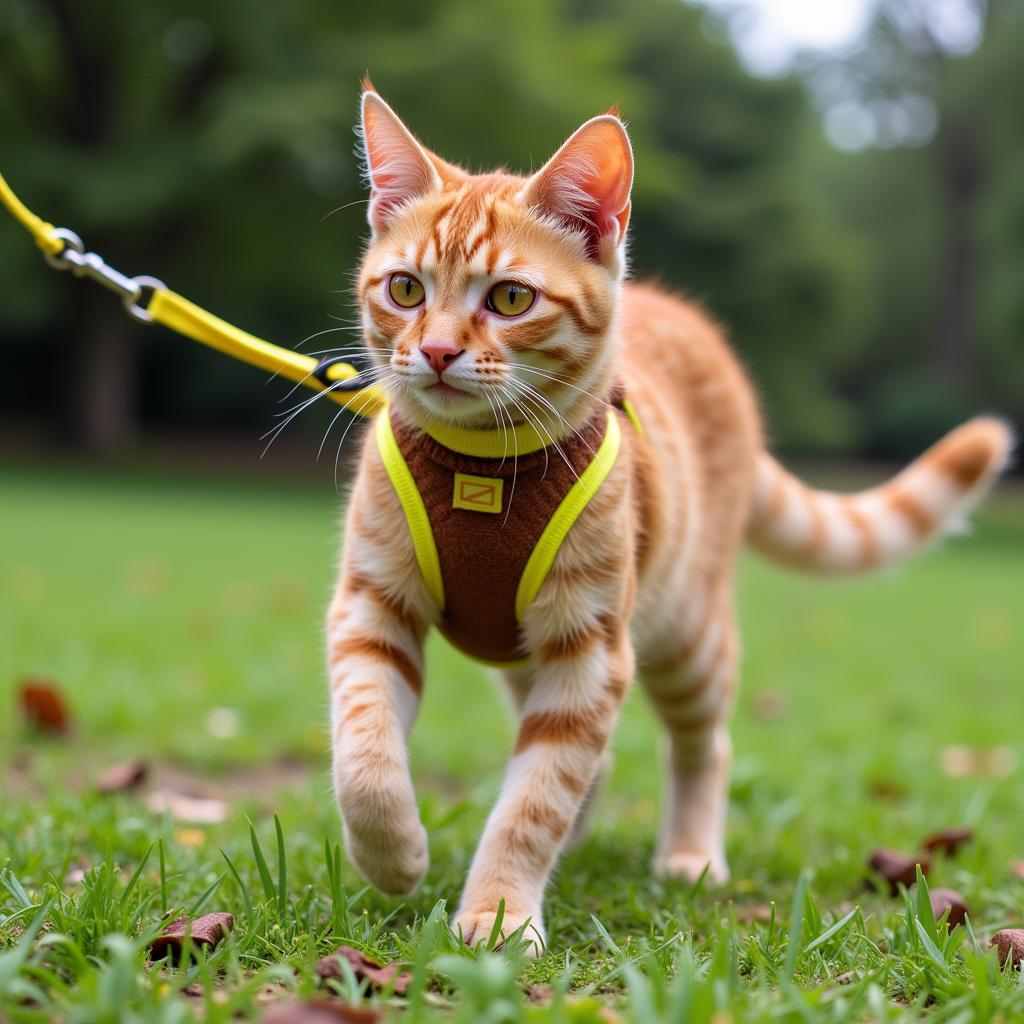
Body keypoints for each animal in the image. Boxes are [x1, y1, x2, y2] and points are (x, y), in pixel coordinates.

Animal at [325, 88, 1007, 950]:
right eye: (406, 290)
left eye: (510, 298)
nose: (439, 352)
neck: (480, 468)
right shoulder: (372, 608)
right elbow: (365, 758)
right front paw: (395, 856)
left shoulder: (590, 648)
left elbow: (533, 802)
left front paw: (500, 910)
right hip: (531, 653)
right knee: (586, 756)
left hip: (686, 633)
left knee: (703, 744)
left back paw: (689, 854)